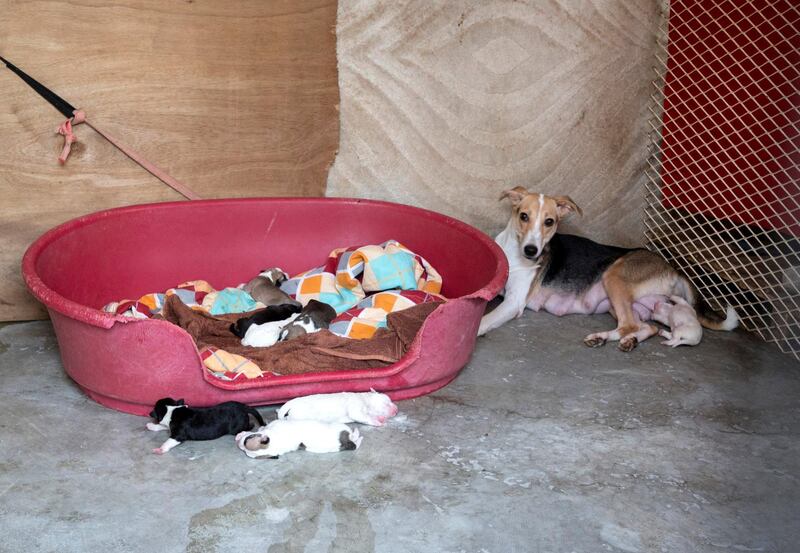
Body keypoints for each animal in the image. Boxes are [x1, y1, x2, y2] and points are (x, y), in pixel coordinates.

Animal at [478, 185, 740, 350]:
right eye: (523, 216)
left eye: (549, 222)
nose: (532, 251)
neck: (514, 255)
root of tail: (672, 267)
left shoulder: (514, 302)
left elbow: (484, 320)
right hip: (626, 305)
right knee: (646, 327)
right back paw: (627, 341)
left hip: (614, 277)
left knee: (629, 325)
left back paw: (600, 337)